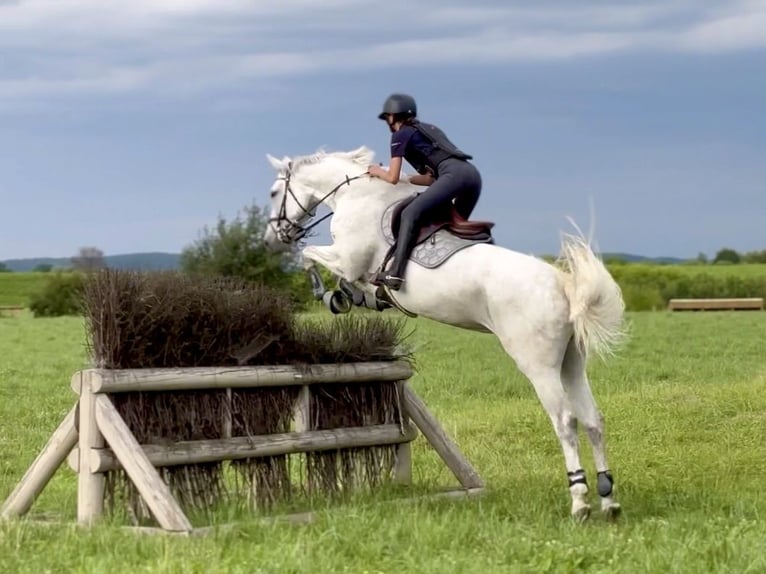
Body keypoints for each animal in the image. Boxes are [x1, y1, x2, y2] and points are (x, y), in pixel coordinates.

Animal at [264, 145, 632, 520]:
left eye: (274, 193)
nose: (273, 238)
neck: (354, 193)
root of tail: (564, 285)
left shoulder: (347, 260)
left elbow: (309, 256)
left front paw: (330, 295)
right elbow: (347, 280)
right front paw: (351, 296)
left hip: (539, 365)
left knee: (566, 422)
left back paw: (580, 501)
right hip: (572, 362)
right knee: (592, 420)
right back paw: (608, 499)